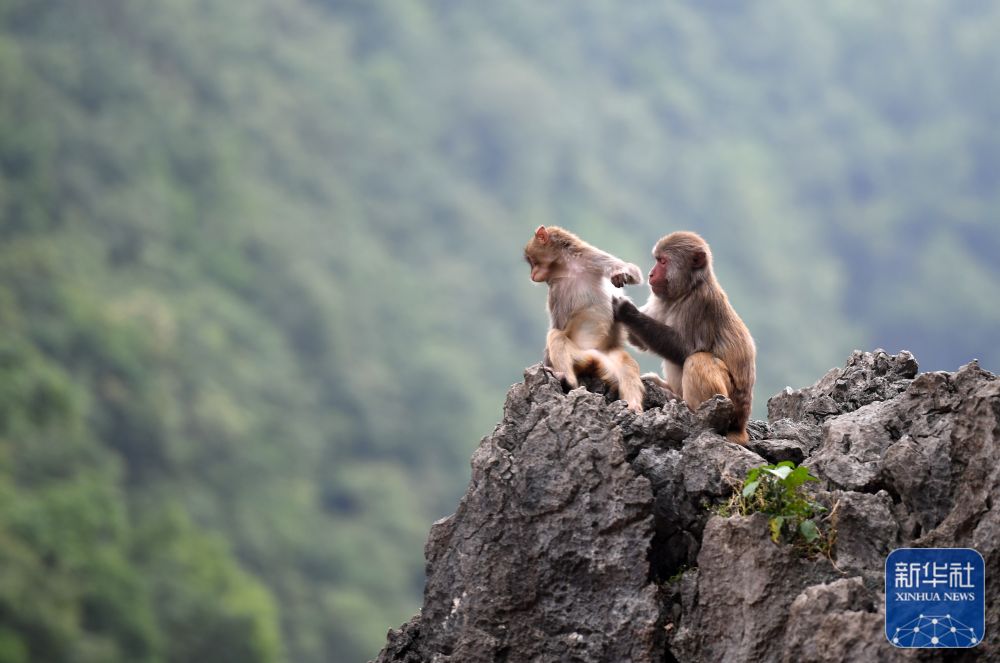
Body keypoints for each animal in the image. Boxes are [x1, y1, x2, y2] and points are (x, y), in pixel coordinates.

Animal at [524, 226, 648, 412]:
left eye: (532, 261)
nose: (532, 274)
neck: (566, 268)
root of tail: (592, 357)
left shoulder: (590, 257)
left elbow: (630, 269)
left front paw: (621, 275)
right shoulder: (555, 292)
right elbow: (558, 326)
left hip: (607, 361)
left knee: (626, 363)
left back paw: (633, 406)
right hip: (577, 357)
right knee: (557, 336)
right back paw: (566, 379)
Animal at [608, 231, 756, 444]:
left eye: (662, 261)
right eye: (657, 260)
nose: (651, 274)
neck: (688, 290)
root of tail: (741, 424)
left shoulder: (700, 303)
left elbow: (684, 349)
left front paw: (626, 310)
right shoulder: (661, 298)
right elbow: (640, 342)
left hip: (732, 406)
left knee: (698, 359)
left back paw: (693, 410)